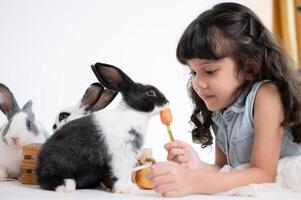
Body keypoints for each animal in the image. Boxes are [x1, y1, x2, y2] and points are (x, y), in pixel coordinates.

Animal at [35, 63, 169, 193]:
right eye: (150, 92)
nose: (167, 103)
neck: (133, 112)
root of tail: (39, 166)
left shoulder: (130, 155)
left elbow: (127, 174)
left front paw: (131, 188)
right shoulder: (121, 154)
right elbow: (121, 173)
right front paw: (122, 190)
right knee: (47, 180)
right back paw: (65, 187)